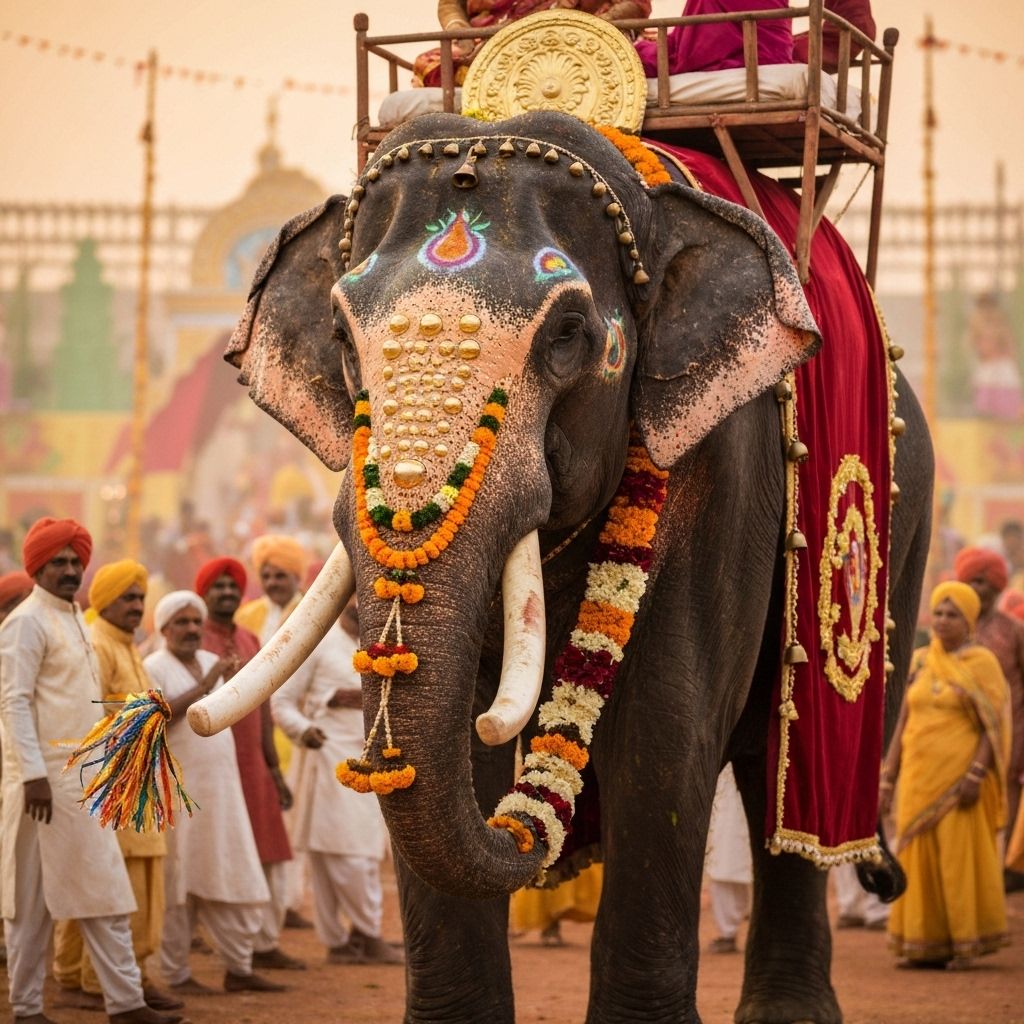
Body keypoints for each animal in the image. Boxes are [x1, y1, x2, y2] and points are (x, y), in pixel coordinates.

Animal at [211, 111, 933, 1023]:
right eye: (342, 340)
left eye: (568, 337)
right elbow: (448, 745)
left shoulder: (723, 468)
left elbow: (664, 736)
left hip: (895, 537)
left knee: (791, 765)